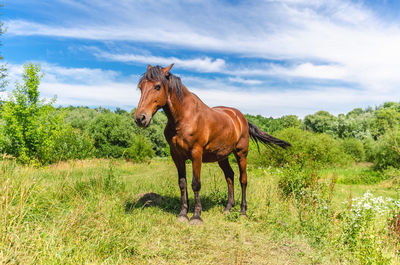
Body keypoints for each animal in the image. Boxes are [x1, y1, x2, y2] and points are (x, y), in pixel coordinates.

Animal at [135, 63, 290, 223]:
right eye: (141, 87)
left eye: (157, 86)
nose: (140, 118)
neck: (184, 118)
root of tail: (241, 118)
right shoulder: (176, 155)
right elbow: (182, 183)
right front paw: (183, 214)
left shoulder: (196, 153)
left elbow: (196, 184)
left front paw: (196, 216)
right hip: (222, 157)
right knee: (230, 176)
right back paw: (228, 208)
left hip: (241, 153)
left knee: (243, 179)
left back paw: (243, 211)